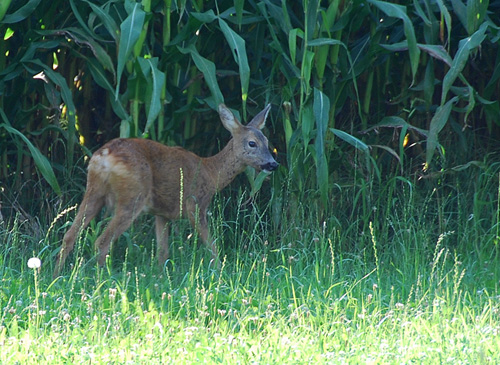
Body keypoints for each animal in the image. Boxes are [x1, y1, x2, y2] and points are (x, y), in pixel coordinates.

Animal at [53, 104, 278, 274]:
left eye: (267, 141)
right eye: (252, 143)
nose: (273, 163)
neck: (211, 172)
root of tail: (103, 157)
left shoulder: (162, 213)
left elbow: (163, 252)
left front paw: (160, 276)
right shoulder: (195, 204)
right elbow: (211, 244)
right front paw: (221, 270)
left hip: (94, 191)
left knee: (69, 235)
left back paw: (57, 276)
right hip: (133, 196)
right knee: (101, 241)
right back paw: (102, 281)